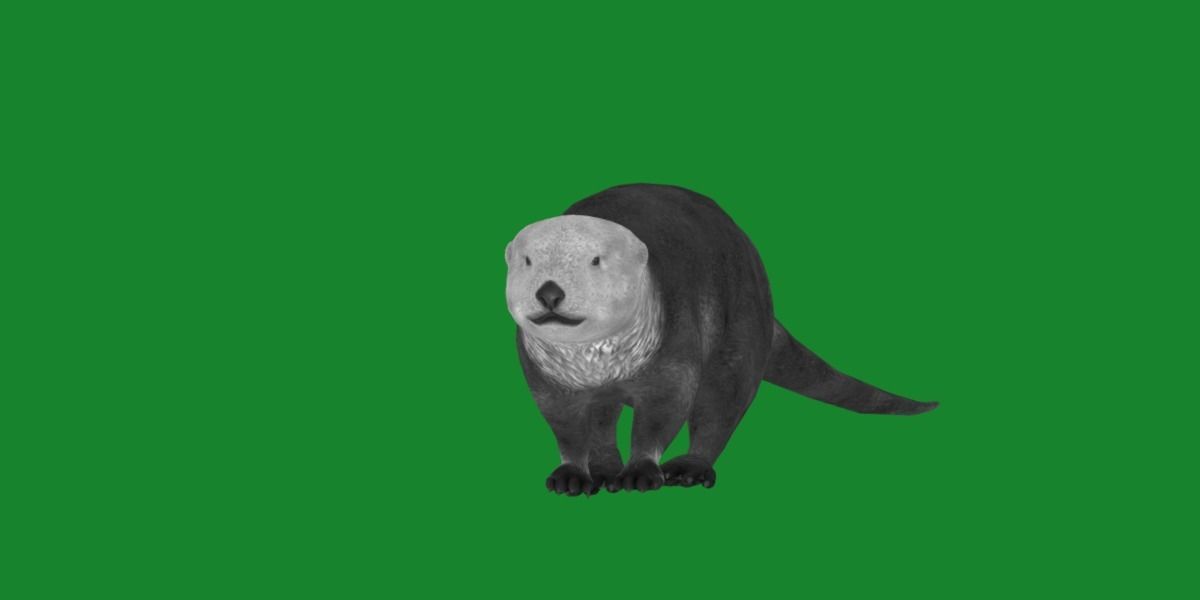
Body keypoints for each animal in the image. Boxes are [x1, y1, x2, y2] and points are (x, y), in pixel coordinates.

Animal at [505, 184, 938, 496]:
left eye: (596, 260)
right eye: (528, 261)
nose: (549, 291)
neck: (602, 364)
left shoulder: (673, 355)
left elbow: (661, 415)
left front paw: (642, 470)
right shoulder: (546, 379)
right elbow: (566, 426)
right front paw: (572, 475)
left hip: (739, 331)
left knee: (720, 404)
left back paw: (690, 469)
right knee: (604, 417)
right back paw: (607, 469)